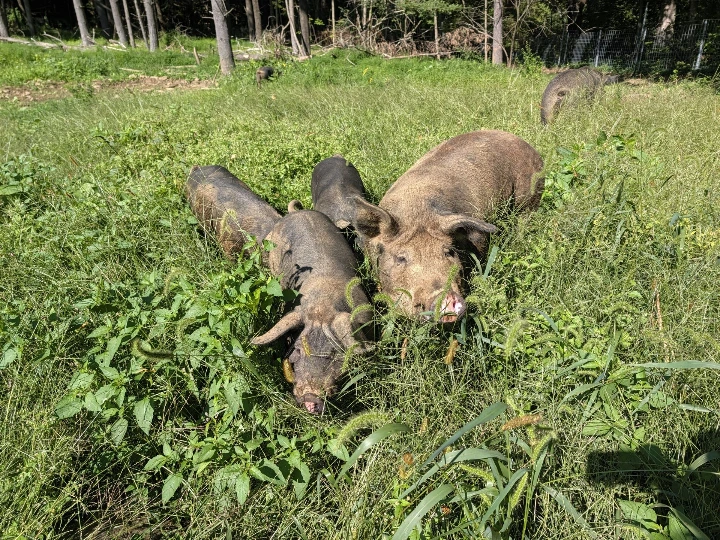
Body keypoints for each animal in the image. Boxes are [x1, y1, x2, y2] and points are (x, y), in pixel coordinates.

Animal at [348, 130, 544, 323]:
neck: (417, 212)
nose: (444, 296)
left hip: (530, 196)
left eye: (448, 252)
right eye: (401, 258)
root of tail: (525, 143)